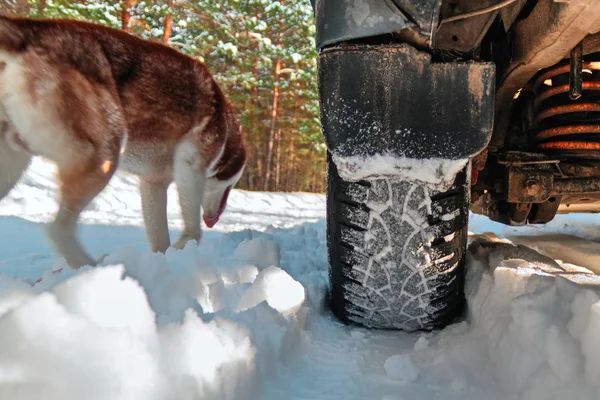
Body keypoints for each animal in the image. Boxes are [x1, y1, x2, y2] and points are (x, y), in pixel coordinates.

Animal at [0, 17, 247, 270]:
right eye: (232, 184)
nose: (215, 217)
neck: (226, 128)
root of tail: (26, 29)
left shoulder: (153, 183)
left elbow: (159, 235)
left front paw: (164, 262)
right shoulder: (191, 166)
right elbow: (194, 232)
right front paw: (182, 249)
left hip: (12, 165)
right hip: (104, 156)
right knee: (57, 229)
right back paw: (91, 267)